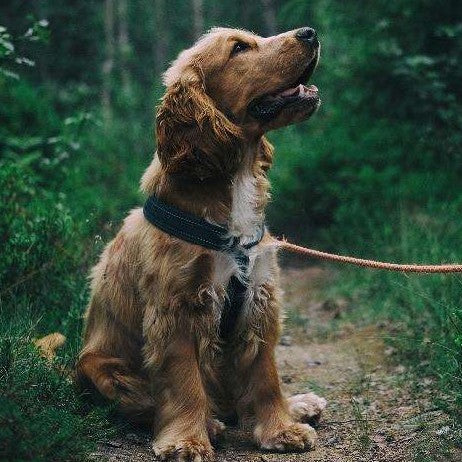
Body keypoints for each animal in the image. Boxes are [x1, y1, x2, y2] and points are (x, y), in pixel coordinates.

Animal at [76, 27, 324, 460]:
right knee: (149, 402)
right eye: (239, 48)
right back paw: (209, 423)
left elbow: (265, 376)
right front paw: (187, 440)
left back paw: (299, 404)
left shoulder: (259, 299)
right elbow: (184, 382)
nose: (310, 32)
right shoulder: (178, 307)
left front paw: (281, 429)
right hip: (103, 371)